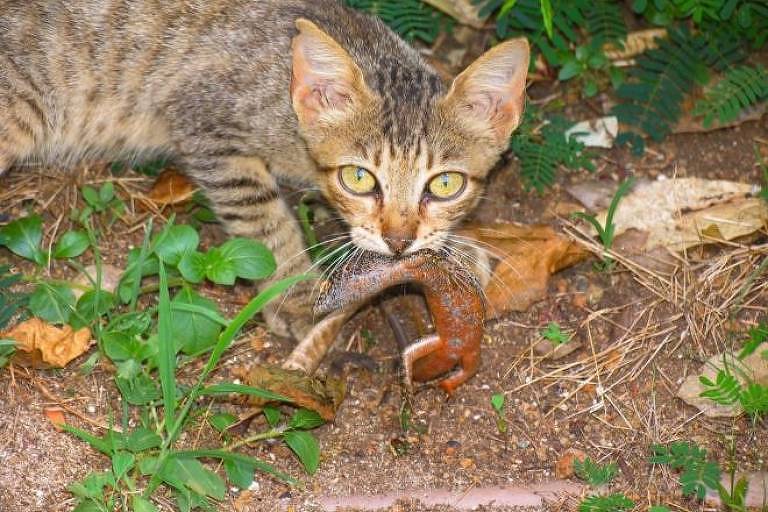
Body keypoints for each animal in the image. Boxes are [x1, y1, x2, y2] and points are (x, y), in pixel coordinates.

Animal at [0, 2, 528, 342]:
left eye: (445, 184)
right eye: (358, 178)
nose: (398, 243)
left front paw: (456, 251)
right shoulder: (204, 123)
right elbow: (263, 220)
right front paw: (293, 293)